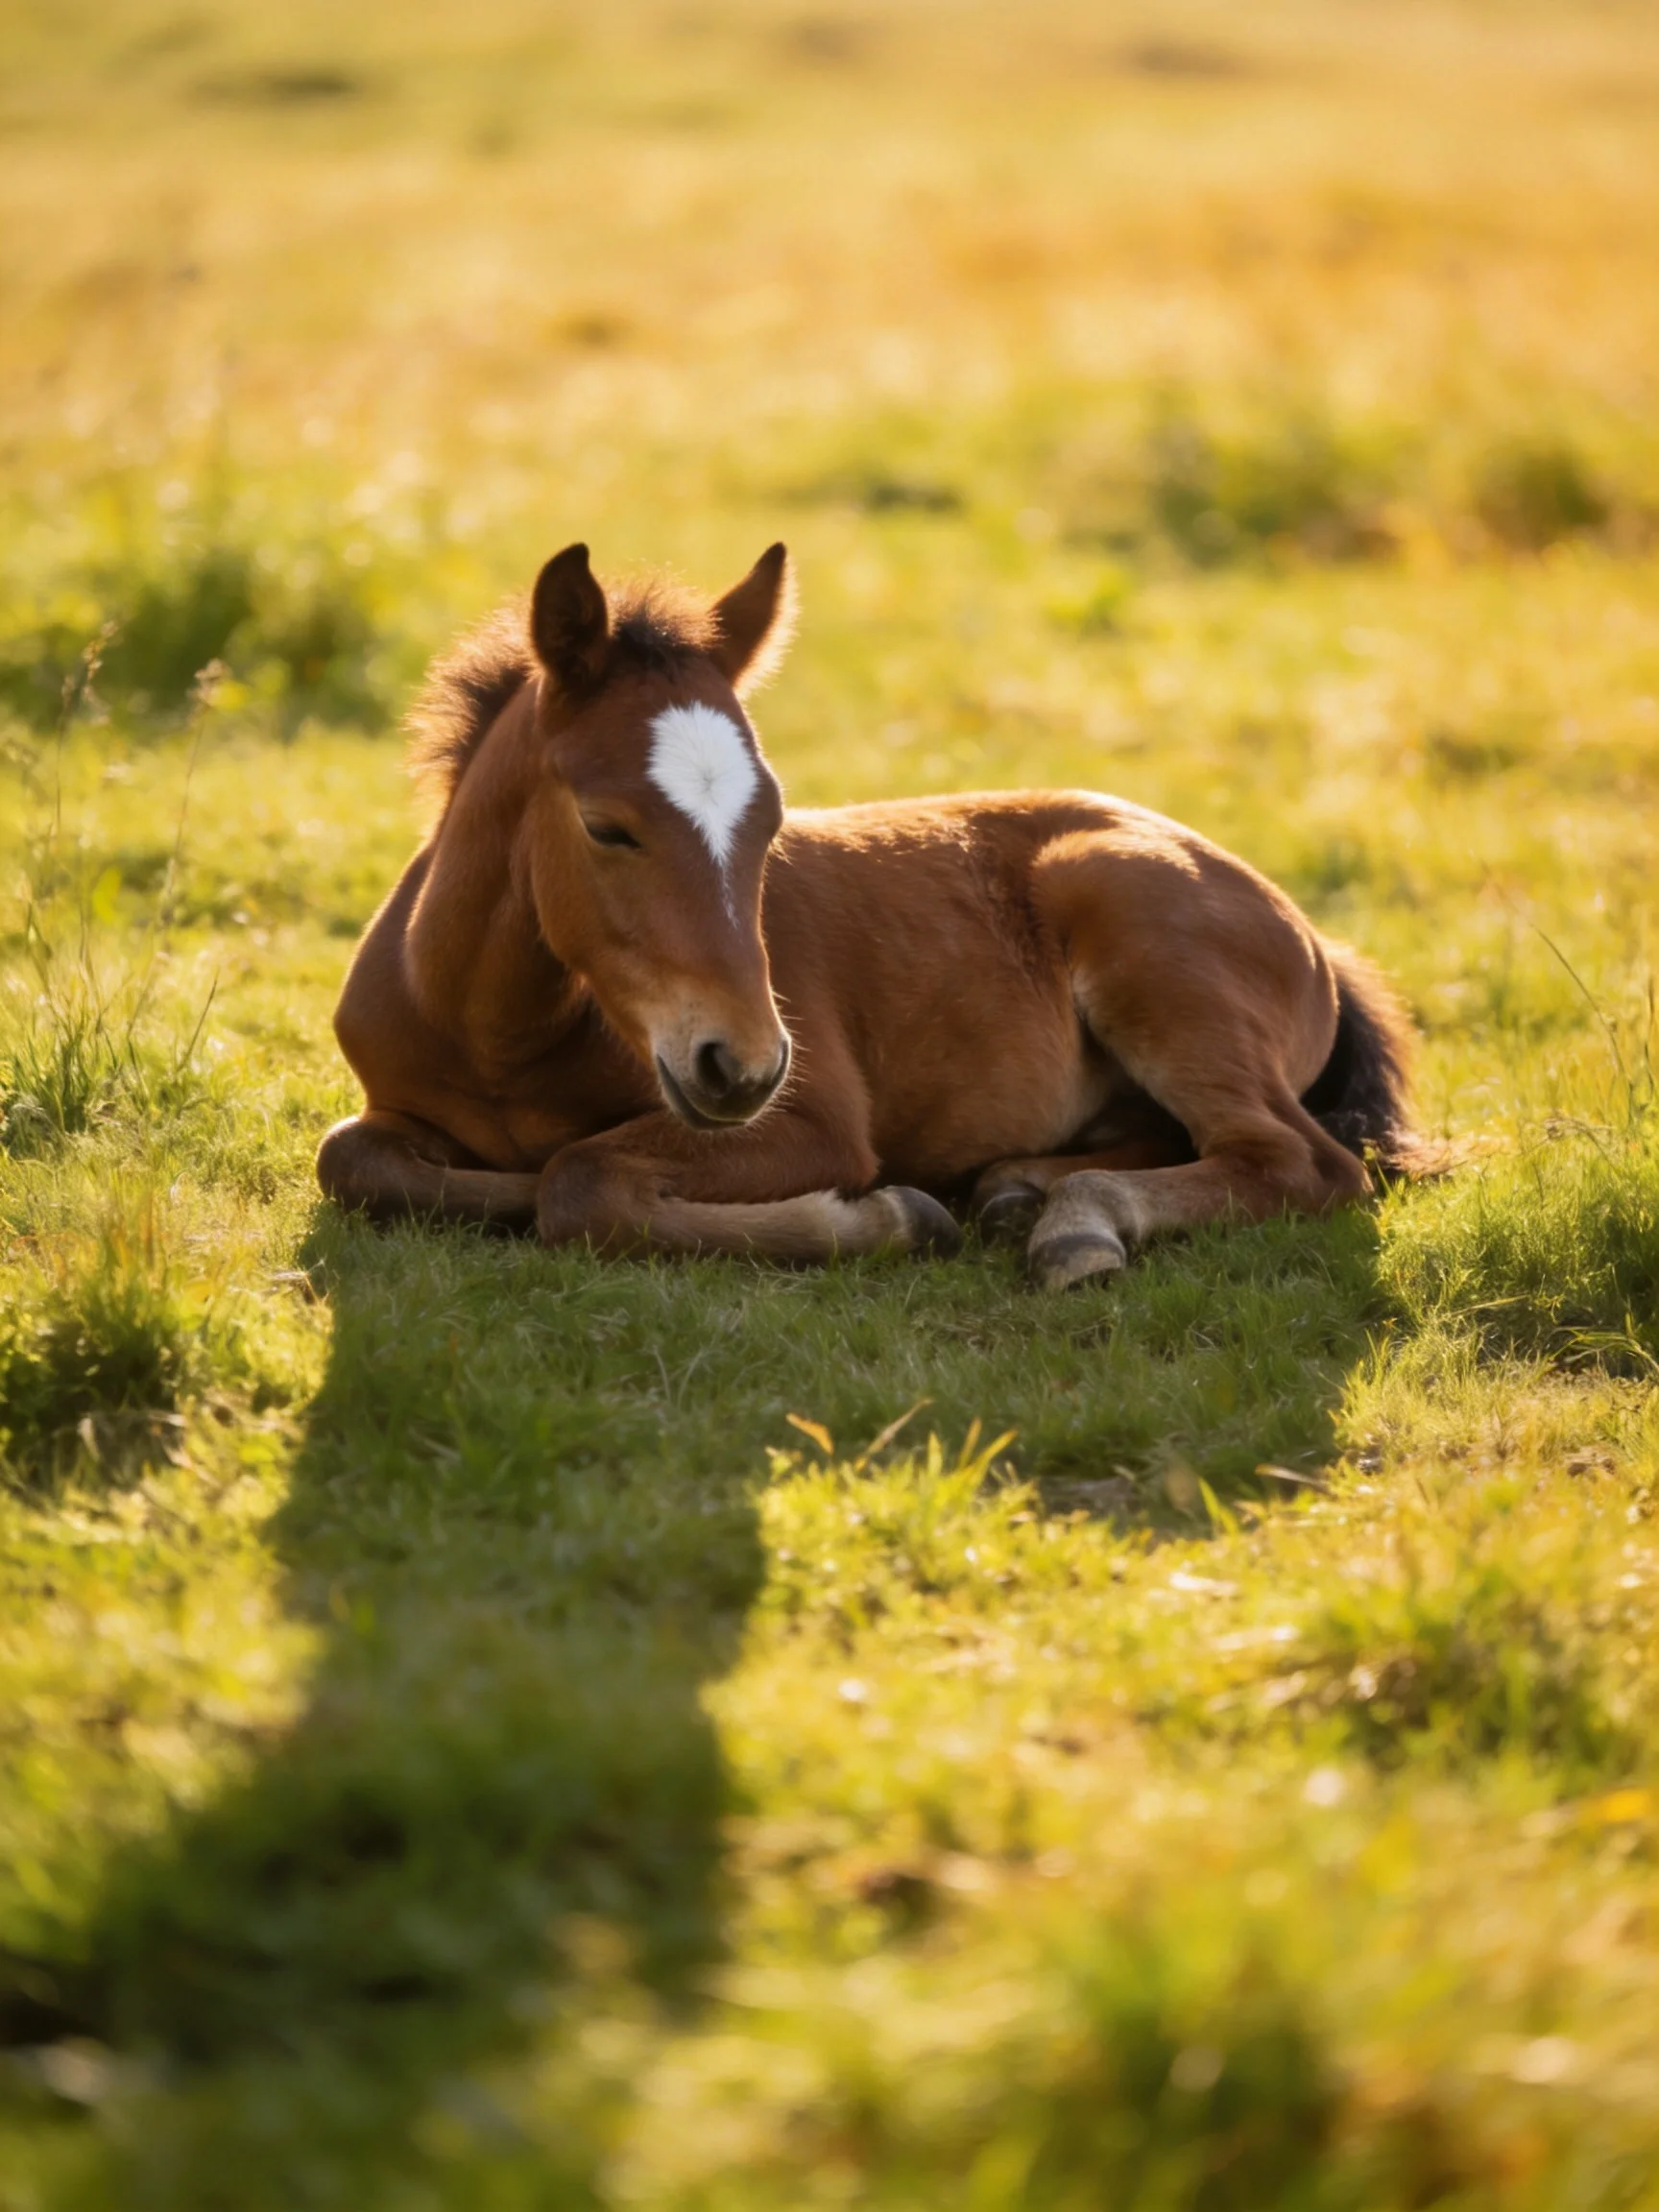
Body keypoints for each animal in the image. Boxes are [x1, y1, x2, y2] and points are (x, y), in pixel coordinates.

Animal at [317, 541, 1425, 1291]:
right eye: (606, 826)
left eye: (770, 821)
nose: (744, 1066)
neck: (496, 1037)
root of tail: (1311, 935)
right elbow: (352, 1160)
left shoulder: (810, 1123)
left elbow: (577, 1178)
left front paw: (886, 1213)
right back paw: (1018, 1189)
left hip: (1150, 948)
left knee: (1297, 1161)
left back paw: (1074, 1227)